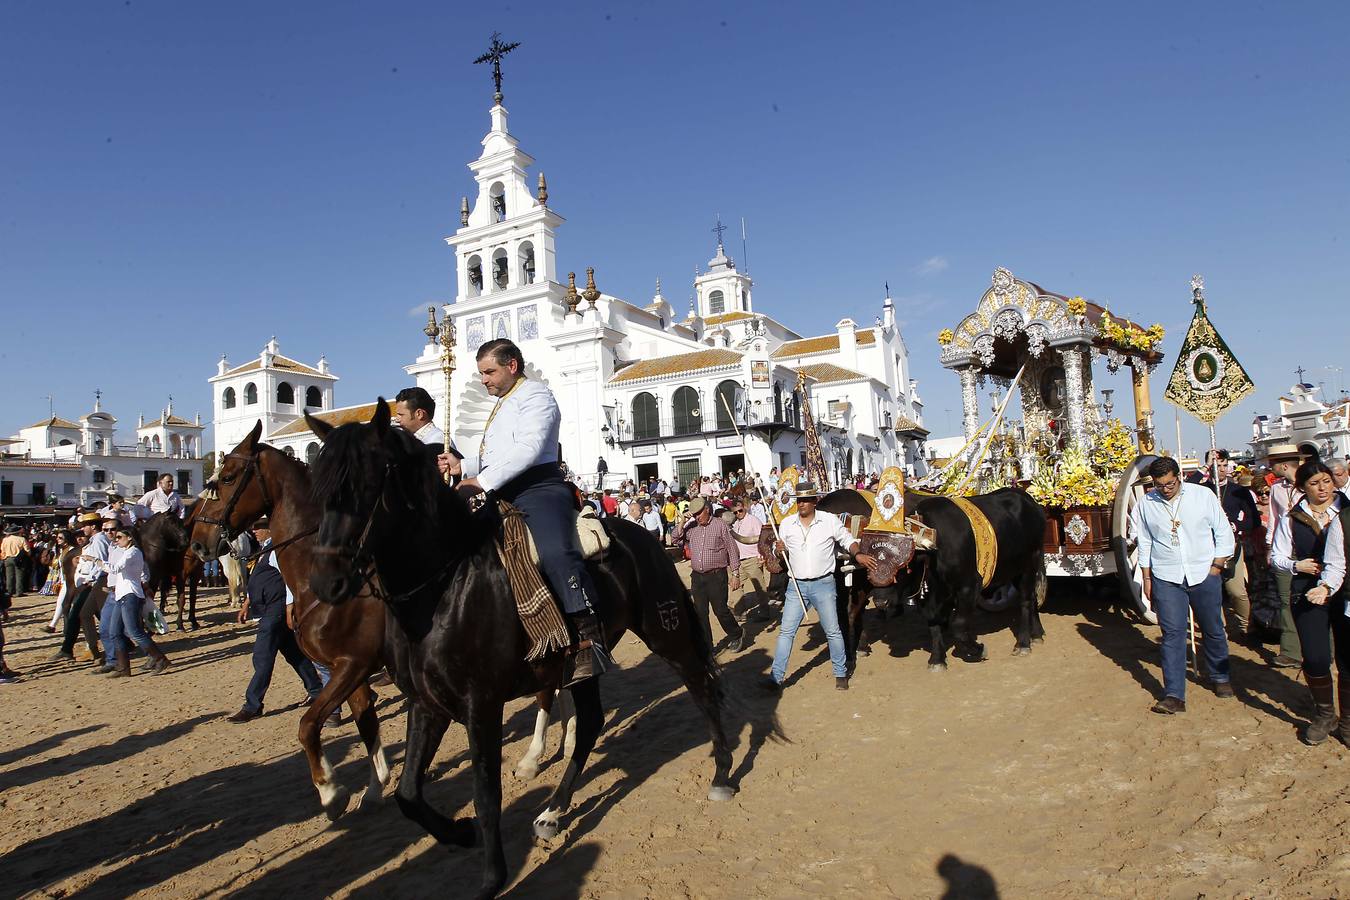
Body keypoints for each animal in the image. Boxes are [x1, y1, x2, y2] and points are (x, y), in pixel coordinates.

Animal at [184, 426, 388, 820]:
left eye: (228, 478)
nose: (199, 544)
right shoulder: (348, 669)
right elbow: (365, 722)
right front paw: (374, 789)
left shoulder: (354, 664)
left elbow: (307, 726)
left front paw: (330, 791)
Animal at [305, 402, 734, 900]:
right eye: (319, 488)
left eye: (367, 482)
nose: (326, 583)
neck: (444, 585)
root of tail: (646, 538)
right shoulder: (427, 703)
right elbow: (408, 793)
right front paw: (460, 833)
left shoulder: (482, 705)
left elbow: (486, 793)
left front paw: (492, 880)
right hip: (583, 665)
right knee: (590, 723)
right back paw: (553, 811)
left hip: (667, 632)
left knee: (701, 686)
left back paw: (723, 774)